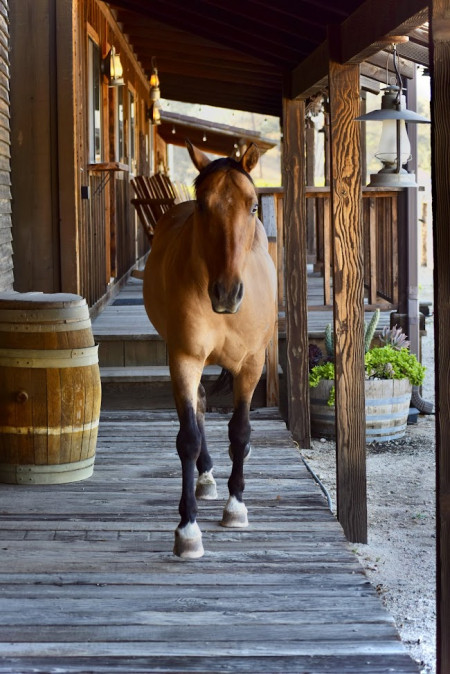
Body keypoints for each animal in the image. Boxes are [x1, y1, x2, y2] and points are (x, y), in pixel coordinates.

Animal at [144, 140, 278, 556]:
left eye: (253, 206)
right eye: (203, 205)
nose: (226, 293)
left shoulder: (252, 363)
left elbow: (241, 431)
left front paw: (236, 506)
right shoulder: (184, 357)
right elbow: (188, 437)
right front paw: (187, 529)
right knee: (200, 406)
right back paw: (204, 477)